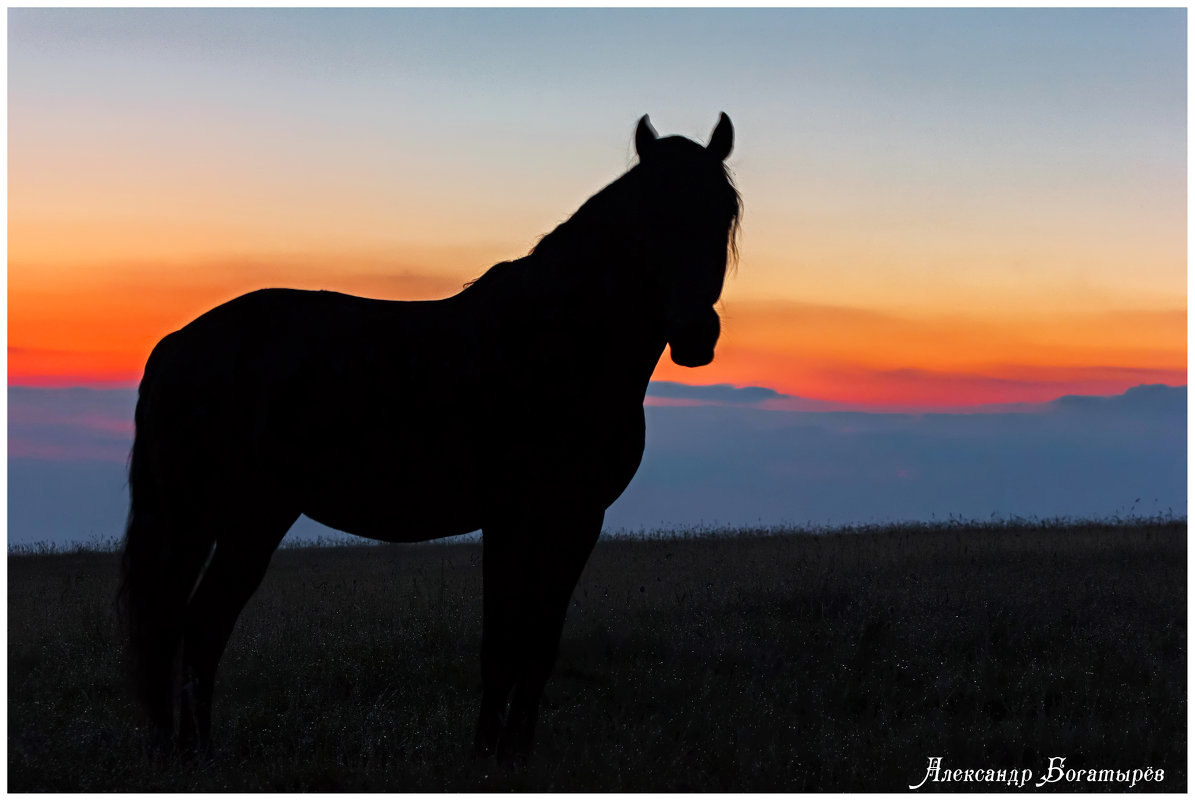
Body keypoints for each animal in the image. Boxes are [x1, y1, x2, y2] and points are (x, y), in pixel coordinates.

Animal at [118, 111, 736, 760]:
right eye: (650, 218)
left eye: (722, 214)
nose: (695, 335)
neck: (560, 340)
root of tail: (178, 344)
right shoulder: (511, 517)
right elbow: (501, 644)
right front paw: (487, 756)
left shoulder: (576, 519)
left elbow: (539, 645)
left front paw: (515, 756)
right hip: (238, 518)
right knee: (197, 627)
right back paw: (198, 755)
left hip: (223, 522)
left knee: (190, 628)